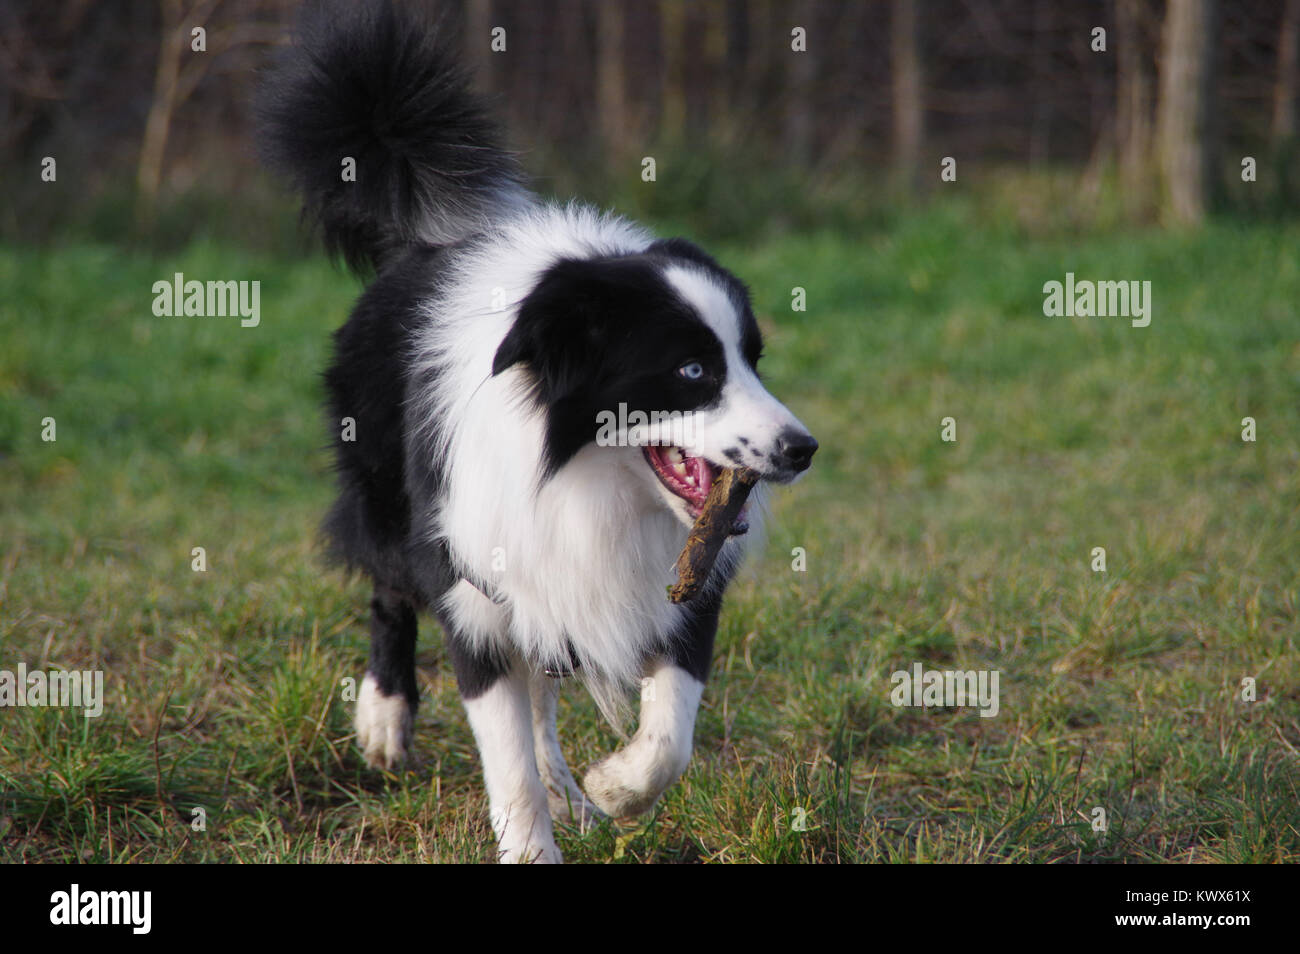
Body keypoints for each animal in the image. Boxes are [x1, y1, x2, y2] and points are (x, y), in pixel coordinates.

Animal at [258, 1, 816, 868]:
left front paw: (615, 787)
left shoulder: (675, 584)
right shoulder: (479, 574)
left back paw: (570, 790)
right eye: (691, 371)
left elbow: (670, 730)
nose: (800, 448)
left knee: (544, 688)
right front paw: (532, 840)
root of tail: (416, 241)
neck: (586, 477)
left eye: (753, 359)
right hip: (390, 493)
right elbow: (505, 749)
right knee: (390, 591)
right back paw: (384, 720)